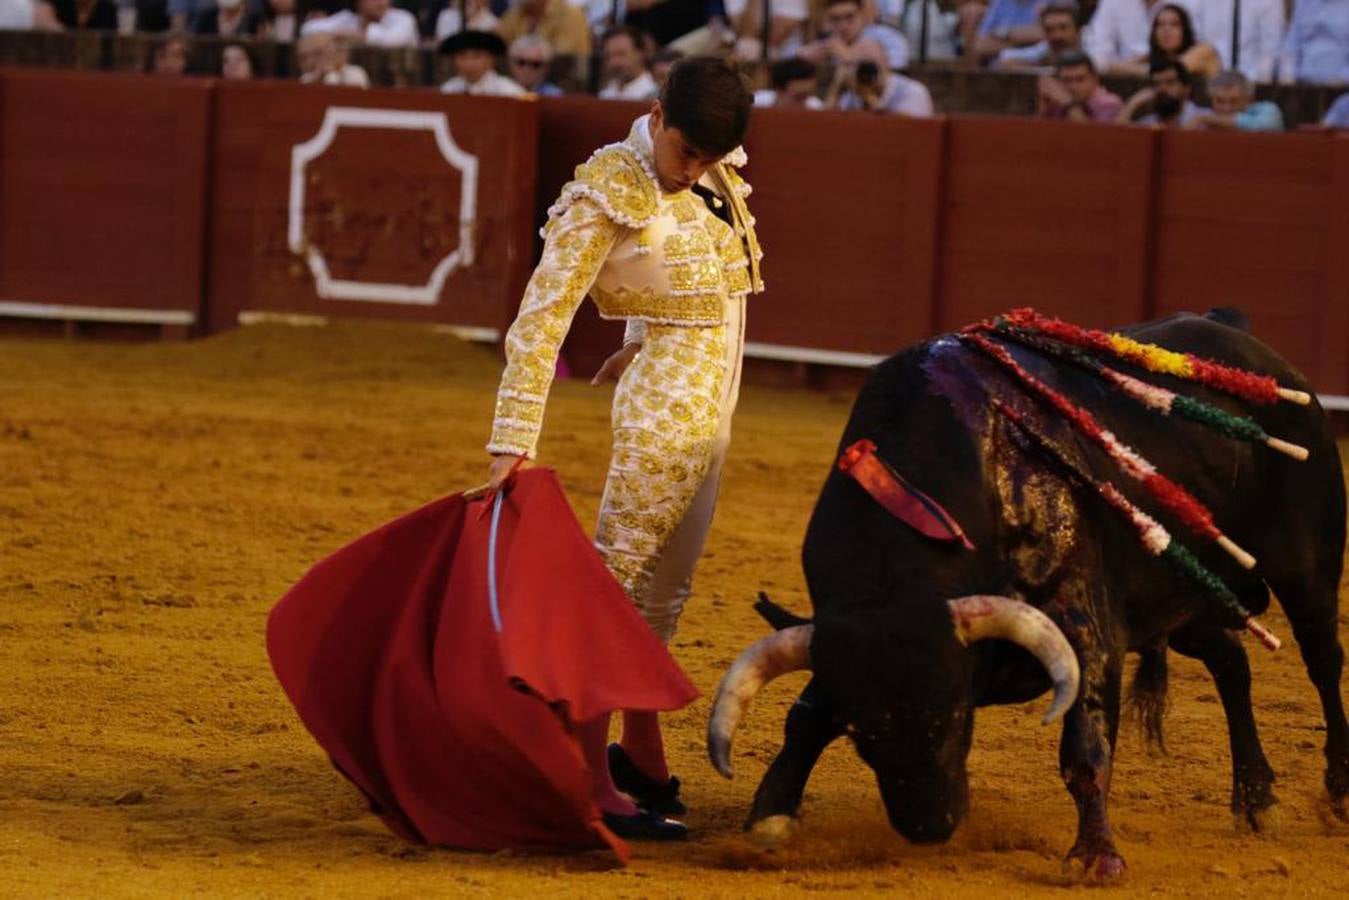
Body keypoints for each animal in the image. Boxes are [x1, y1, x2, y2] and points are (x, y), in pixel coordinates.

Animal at [712, 311, 1343, 879]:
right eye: (860, 734)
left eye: (957, 712)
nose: (929, 827)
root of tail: (1244, 339)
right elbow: (806, 715)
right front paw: (769, 815)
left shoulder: (1085, 630)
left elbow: (1085, 747)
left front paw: (1095, 857)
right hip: (1181, 603)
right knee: (1231, 662)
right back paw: (1257, 799)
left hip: (1307, 567)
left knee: (1323, 663)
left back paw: (1335, 795)